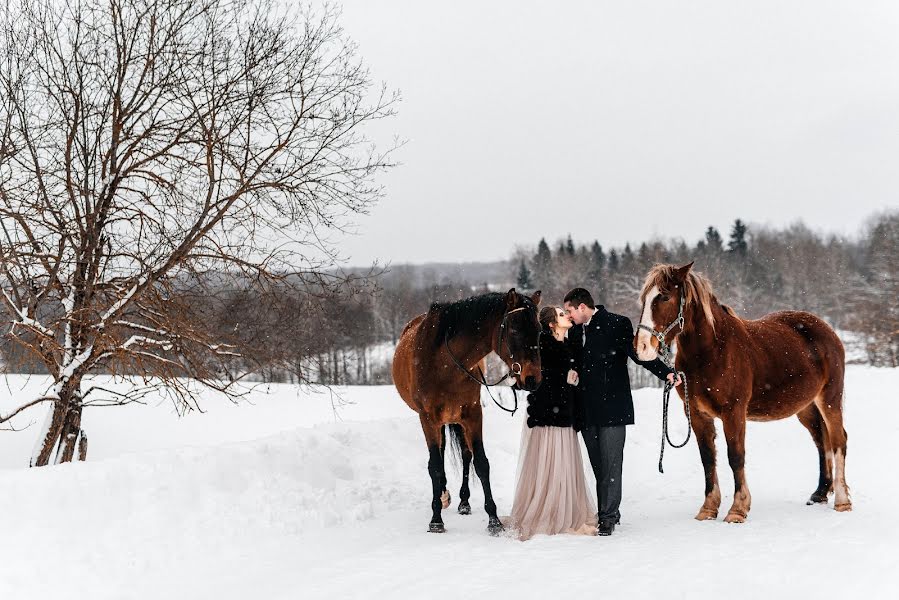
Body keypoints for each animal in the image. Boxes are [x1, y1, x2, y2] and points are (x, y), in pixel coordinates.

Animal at [394, 290, 540, 536]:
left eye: (539, 330)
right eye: (514, 330)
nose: (532, 379)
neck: (445, 363)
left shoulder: (472, 415)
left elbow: (481, 463)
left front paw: (494, 520)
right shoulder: (428, 418)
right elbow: (435, 466)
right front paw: (436, 519)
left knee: (464, 454)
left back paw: (463, 502)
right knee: (440, 454)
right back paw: (443, 496)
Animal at [632, 262, 852, 520]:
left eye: (665, 296)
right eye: (644, 299)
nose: (641, 347)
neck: (712, 352)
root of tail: (827, 330)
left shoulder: (733, 412)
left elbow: (735, 456)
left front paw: (738, 509)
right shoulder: (696, 414)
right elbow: (708, 458)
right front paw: (708, 508)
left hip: (830, 399)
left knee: (838, 440)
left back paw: (842, 501)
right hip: (806, 406)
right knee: (821, 440)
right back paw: (819, 493)